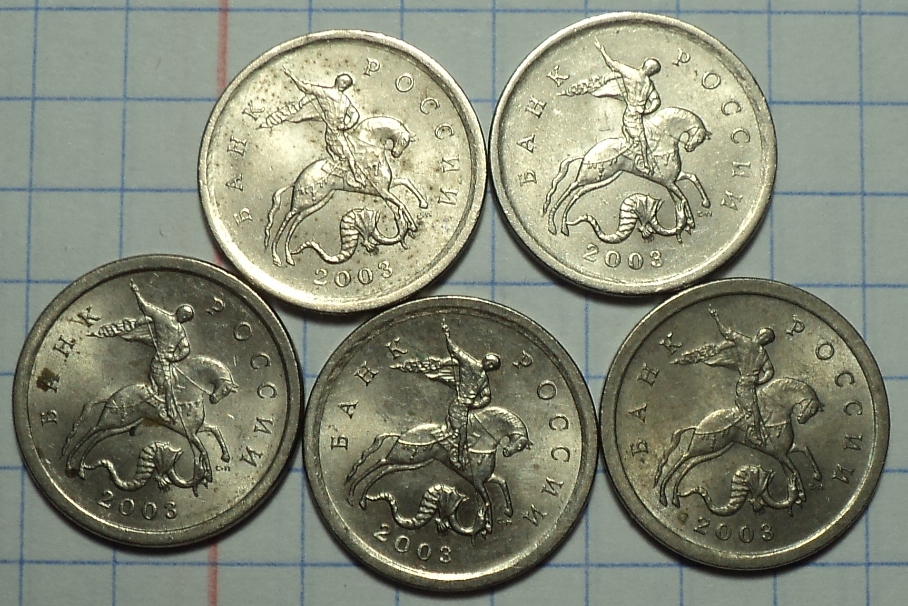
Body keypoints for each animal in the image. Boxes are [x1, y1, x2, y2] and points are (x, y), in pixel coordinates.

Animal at [61, 355, 238, 493]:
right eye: (225, 389)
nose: (214, 399)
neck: (187, 393)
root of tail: (114, 395)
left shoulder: (196, 430)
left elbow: (215, 430)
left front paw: (224, 457)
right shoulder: (190, 433)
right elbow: (204, 450)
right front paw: (208, 474)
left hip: (121, 426)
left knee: (97, 437)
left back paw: (81, 468)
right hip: (112, 420)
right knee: (91, 430)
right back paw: (70, 463)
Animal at [263, 115, 429, 267]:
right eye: (404, 141)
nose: (396, 154)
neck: (370, 151)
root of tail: (297, 180)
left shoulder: (384, 188)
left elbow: (406, 184)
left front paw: (421, 206)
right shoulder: (382, 190)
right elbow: (401, 203)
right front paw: (412, 224)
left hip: (317, 203)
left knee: (295, 222)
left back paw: (288, 257)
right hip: (303, 202)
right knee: (286, 218)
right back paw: (275, 256)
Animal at [344, 406, 531, 536]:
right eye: (519, 444)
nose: (507, 452)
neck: (482, 441)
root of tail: (402, 434)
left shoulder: (485, 478)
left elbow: (502, 483)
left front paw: (507, 511)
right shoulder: (478, 482)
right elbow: (487, 501)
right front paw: (488, 526)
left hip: (412, 463)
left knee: (385, 469)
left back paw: (361, 497)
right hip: (403, 457)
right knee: (380, 462)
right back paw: (353, 493)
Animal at [543, 107, 711, 239]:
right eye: (700, 136)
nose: (689, 148)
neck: (664, 141)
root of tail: (587, 154)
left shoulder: (673, 180)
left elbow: (692, 179)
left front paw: (703, 204)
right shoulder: (669, 182)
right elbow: (684, 197)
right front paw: (690, 221)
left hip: (602, 179)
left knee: (577, 194)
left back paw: (563, 226)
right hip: (589, 176)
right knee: (570, 188)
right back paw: (552, 222)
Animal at [654, 377, 824, 509]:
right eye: (812, 409)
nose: (802, 420)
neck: (776, 414)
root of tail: (699, 425)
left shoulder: (783, 452)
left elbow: (805, 450)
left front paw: (814, 477)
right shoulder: (781, 454)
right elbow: (795, 470)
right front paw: (801, 493)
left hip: (715, 449)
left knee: (689, 464)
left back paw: (674, 497)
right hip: (702, 446)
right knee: (682, 459)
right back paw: (663, 495)